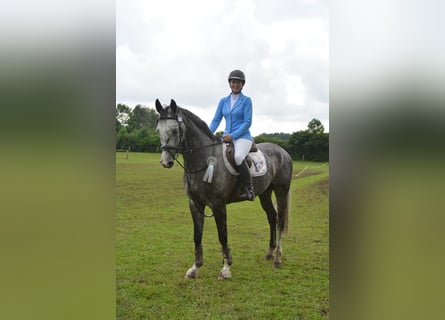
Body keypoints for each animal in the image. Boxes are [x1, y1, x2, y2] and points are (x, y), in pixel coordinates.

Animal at [154, 99, 294, 278]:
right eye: (158, 130)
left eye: (174, 129)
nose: (165, 162)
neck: (203, 160)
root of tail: (283, 151)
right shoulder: (195, 204)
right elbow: (197, 236)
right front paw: (195, 267)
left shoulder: (218, 205)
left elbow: (223, 235)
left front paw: (226, 268)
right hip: (265, 193)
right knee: (272, 217)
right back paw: (269, 253)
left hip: (281, 190)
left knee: (281, 221)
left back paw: (277, 259)